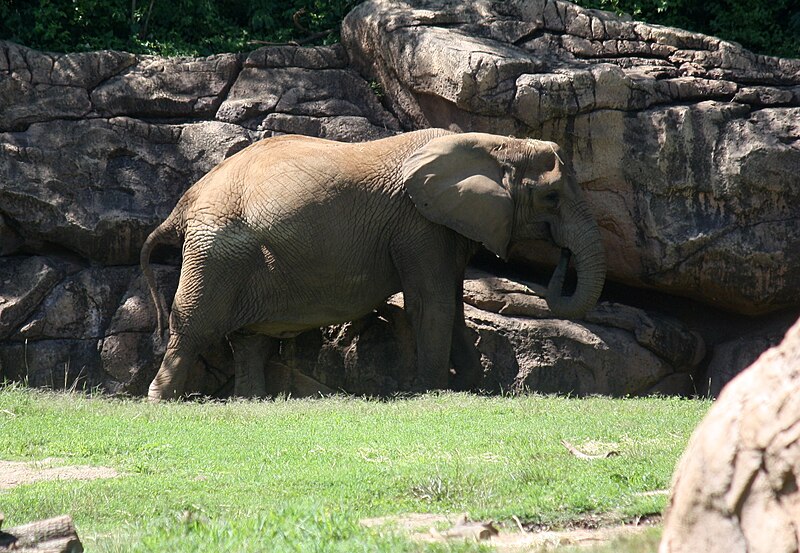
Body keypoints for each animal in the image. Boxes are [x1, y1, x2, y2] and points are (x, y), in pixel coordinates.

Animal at [142, 130, 608, 402]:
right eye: (551, 198)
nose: (562, 256)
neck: (493, 143)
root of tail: (185, 202)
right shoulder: (418, 224)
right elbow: (431, 302)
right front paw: (433, 391)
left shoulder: (444, 225)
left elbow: (452, 305)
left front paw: (475, 387)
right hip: (216, 250)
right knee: (194, 325)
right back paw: (160, 401)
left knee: (250, 340)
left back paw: (251, 402)